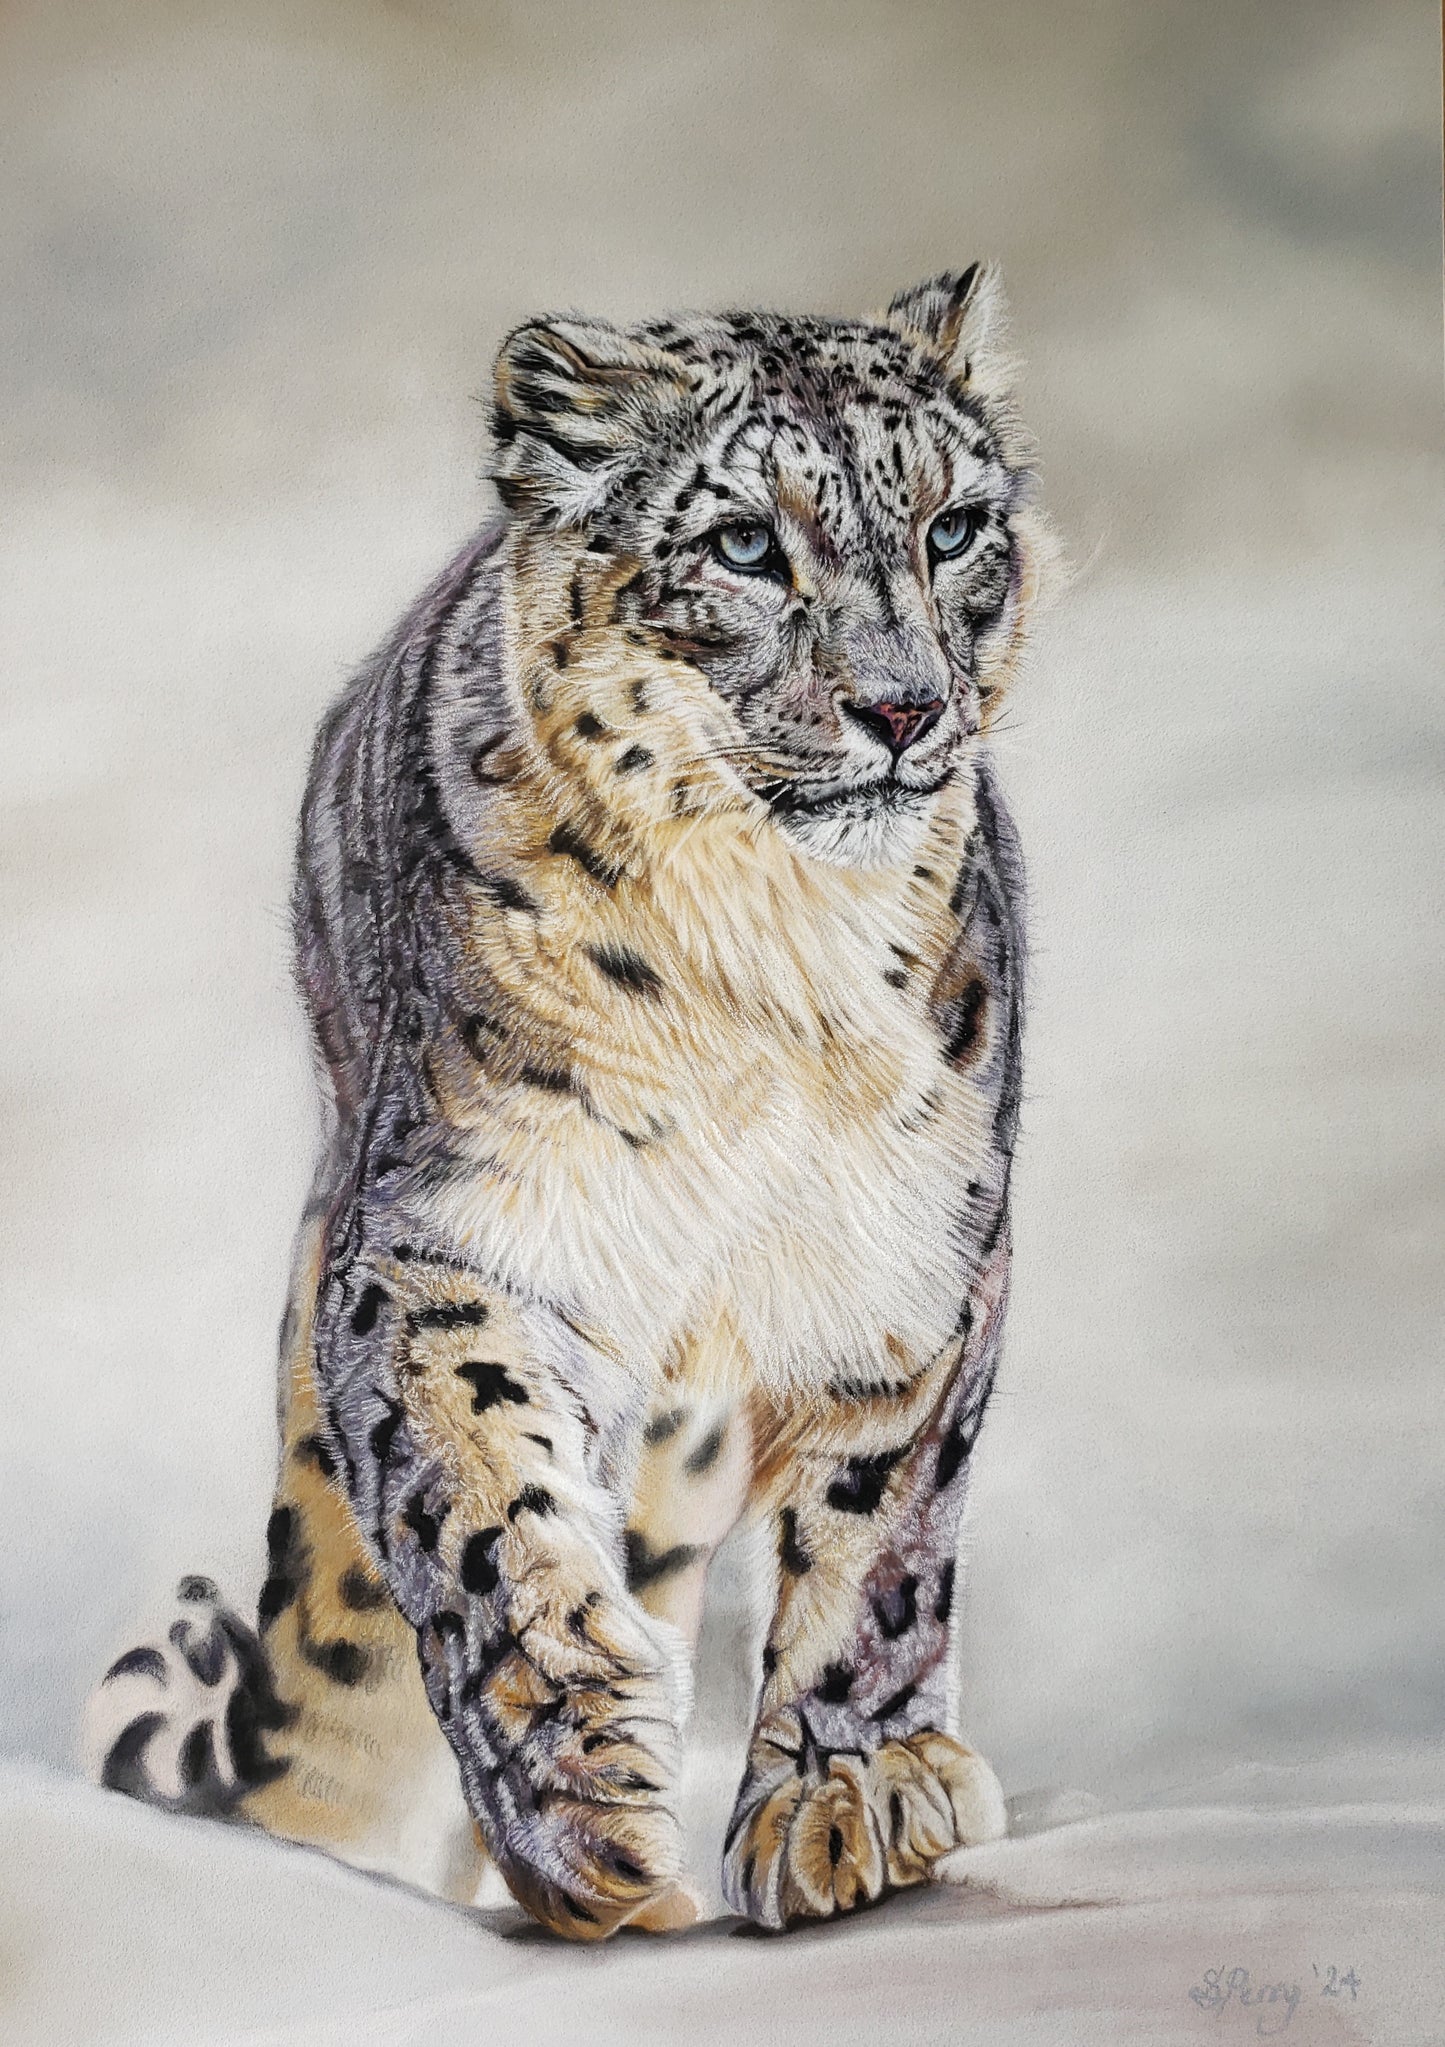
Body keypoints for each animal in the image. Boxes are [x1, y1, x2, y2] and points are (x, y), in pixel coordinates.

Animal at [84, 265, 1055, 1938]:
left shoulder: (912, 1256)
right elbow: (481, 1495)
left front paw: (845, 1788)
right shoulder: (460, 1235)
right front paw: (584, 1786)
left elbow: (879, 1533)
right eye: (746, 544)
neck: (778, 965)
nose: (901, 706)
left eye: (952, 527)